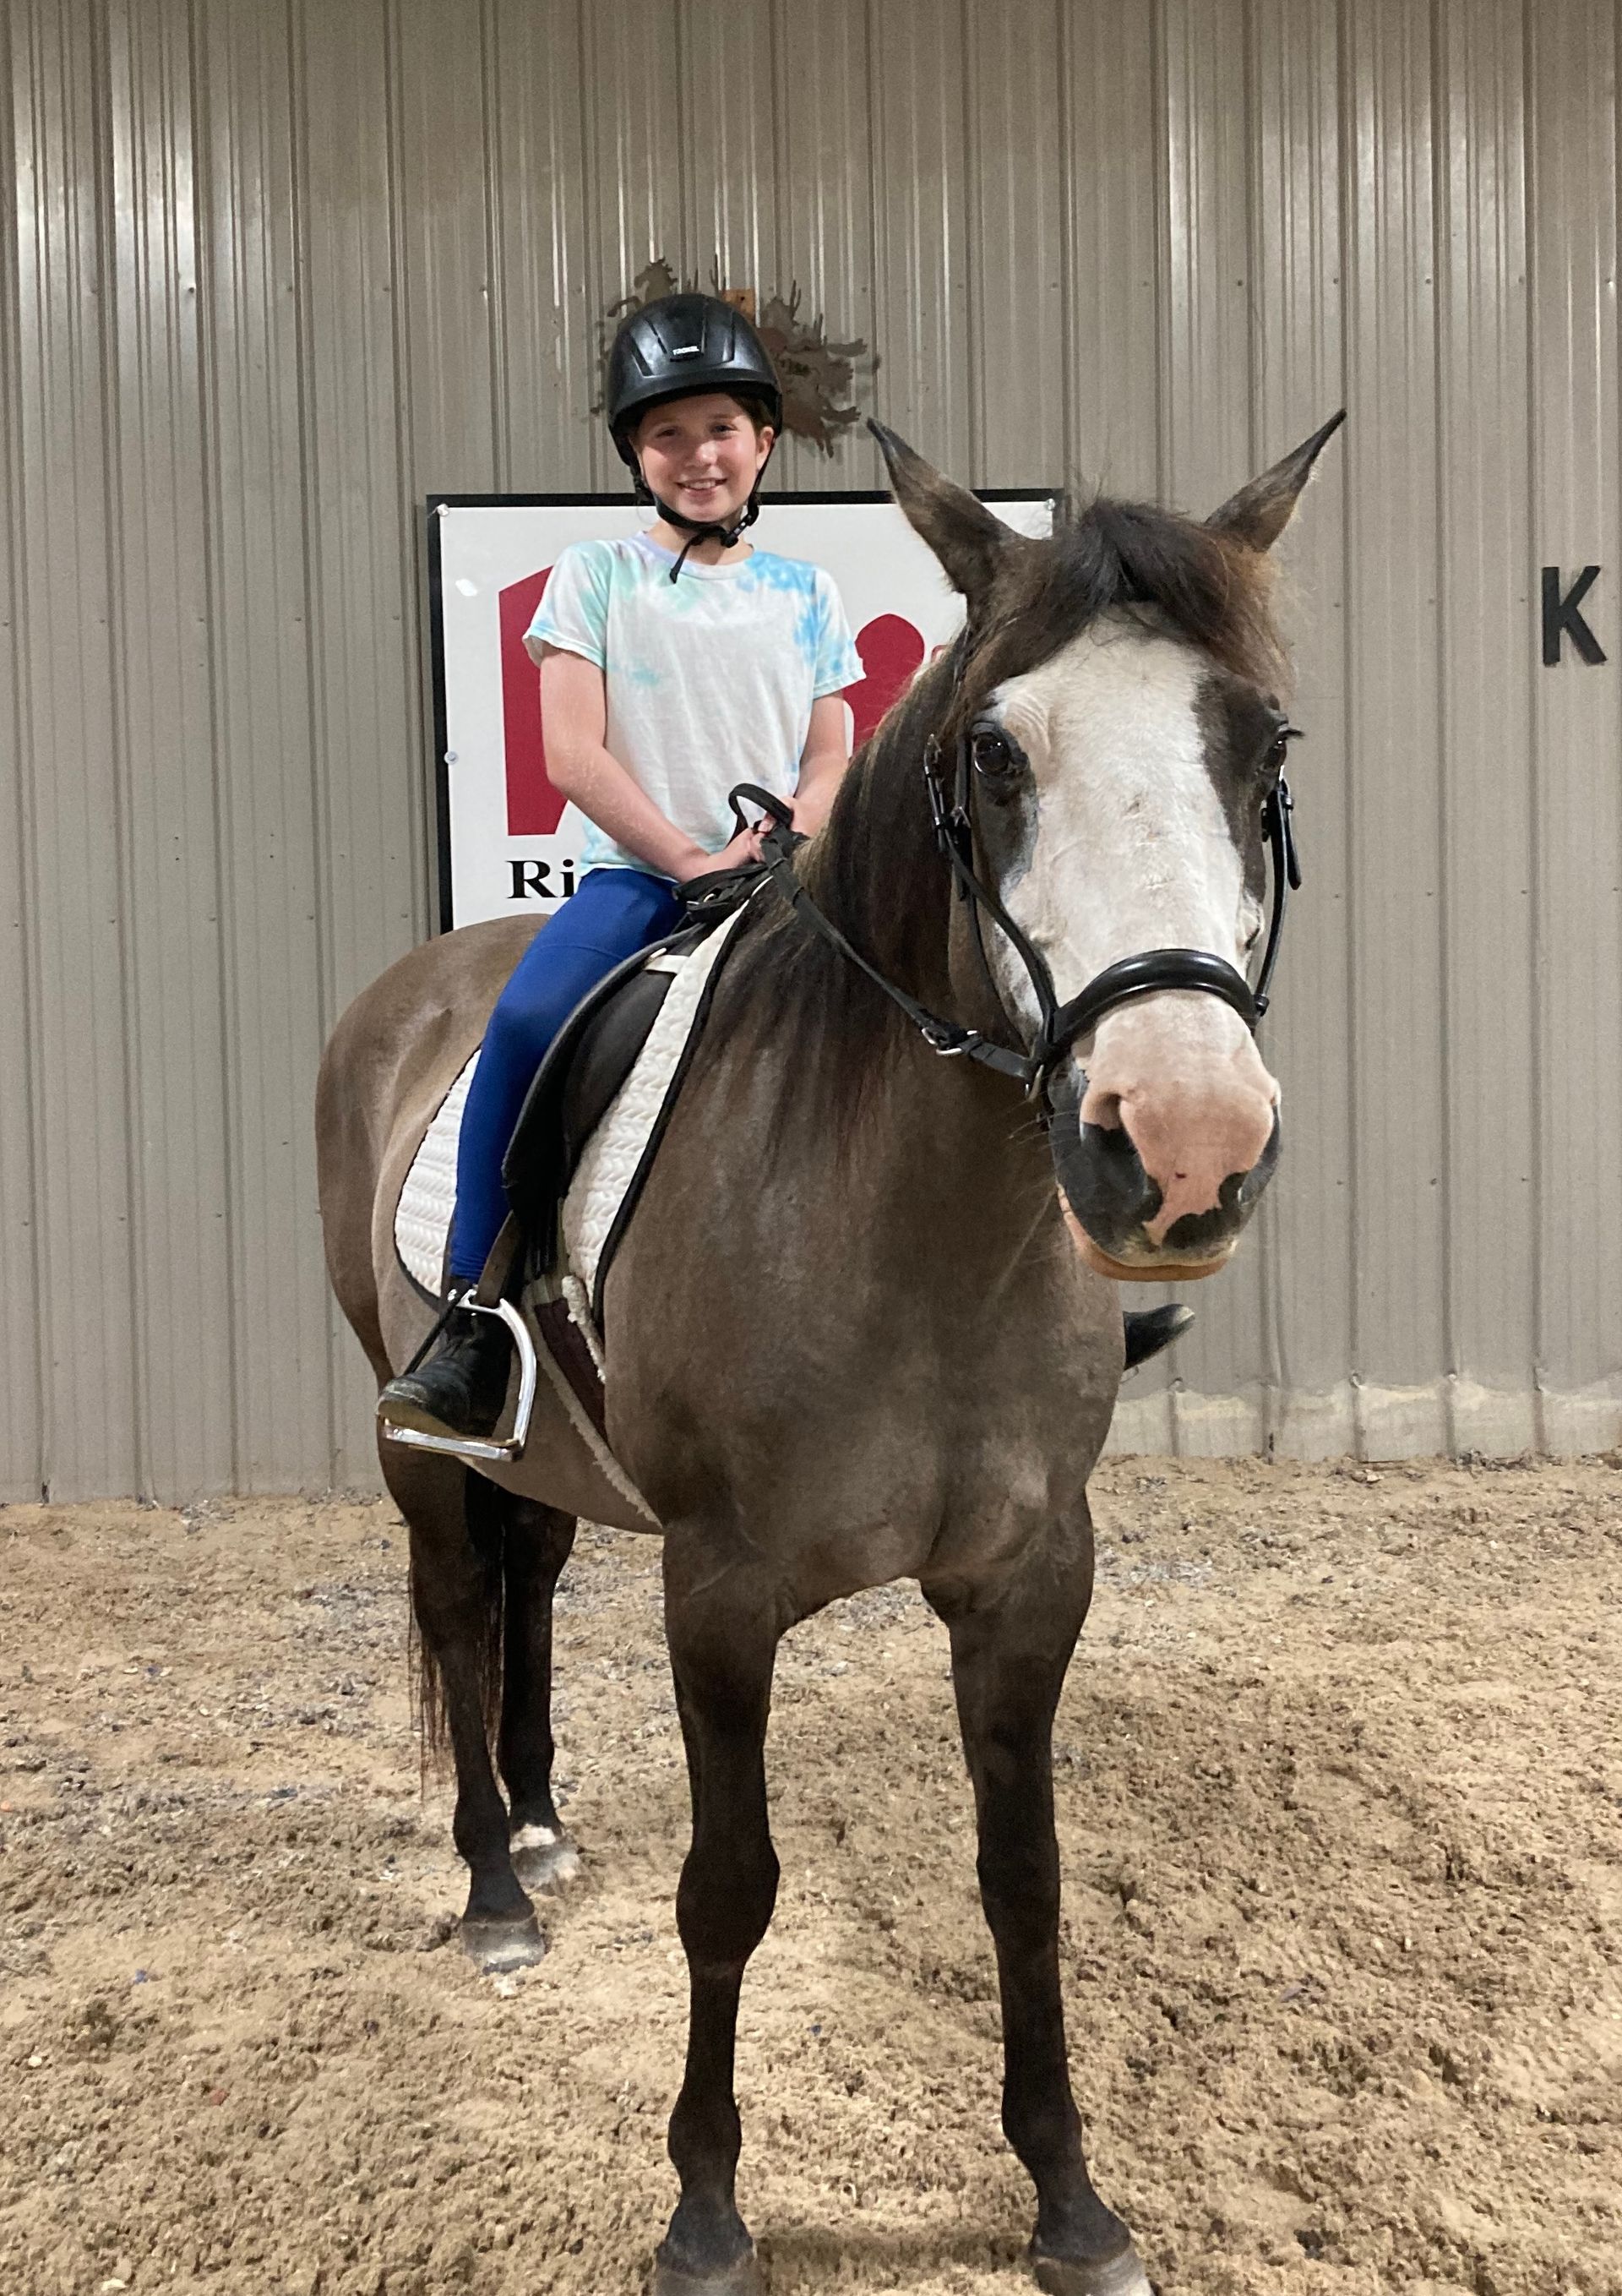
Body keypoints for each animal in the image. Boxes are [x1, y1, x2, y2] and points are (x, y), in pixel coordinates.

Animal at [316, 413, 1341, 2296]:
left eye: (1263, 745)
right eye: (992, 754)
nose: (1180, 1145)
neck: (918, 1236)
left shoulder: (1031, 1576)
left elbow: (1025, 1877)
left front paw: (1070, 2199)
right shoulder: (722, 1590)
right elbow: (730, 1885)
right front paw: (708, 2211)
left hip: (548, 1447)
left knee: (532, 1572)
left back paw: (547, 1820)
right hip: (414, 1442)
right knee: (455, 1596)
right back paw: (496, 1887)